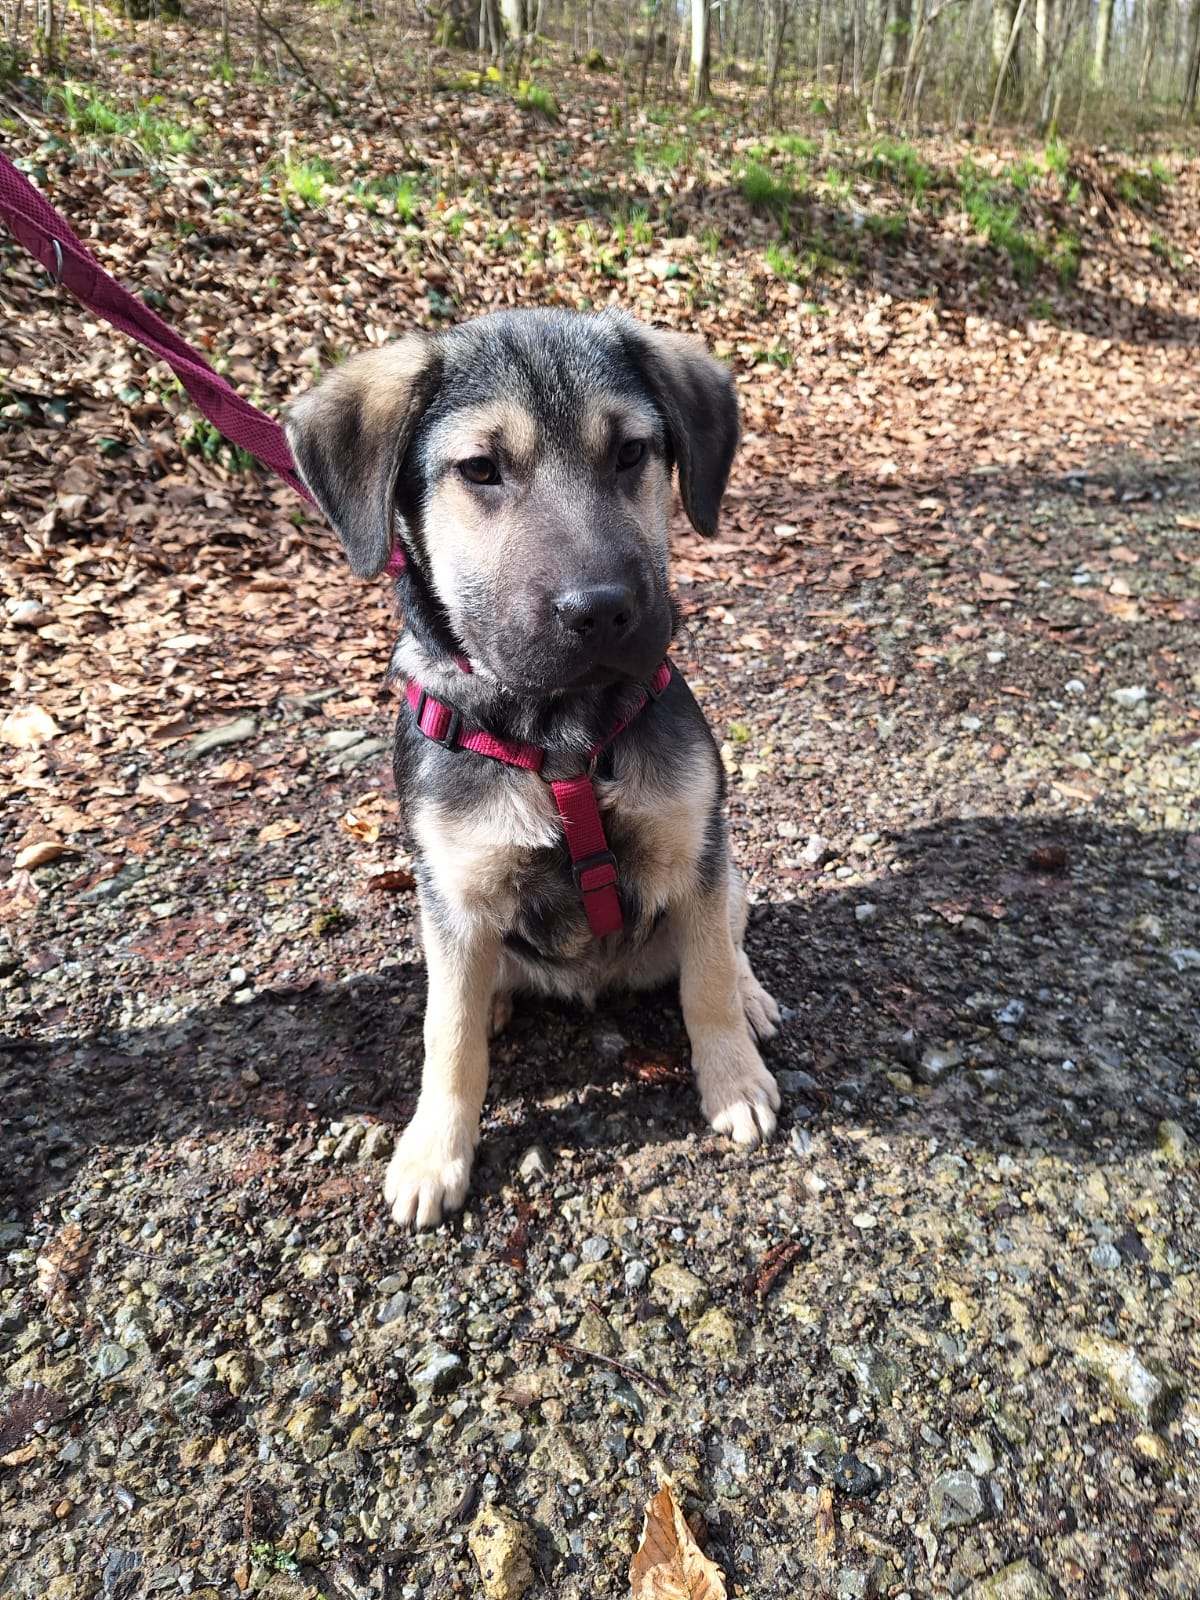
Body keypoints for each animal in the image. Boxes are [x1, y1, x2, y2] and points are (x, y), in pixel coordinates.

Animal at [286, 308, 780, 1227]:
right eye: (480, 468)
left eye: (630, 452)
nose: (603, 611)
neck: (560, 732)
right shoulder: (453, 894)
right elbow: (445, 1037)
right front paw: (434, 1150)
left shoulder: (695, 850)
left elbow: (705, 984)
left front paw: (733, 1080)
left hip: (726, 872)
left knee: (727, 941)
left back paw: (753, 994)